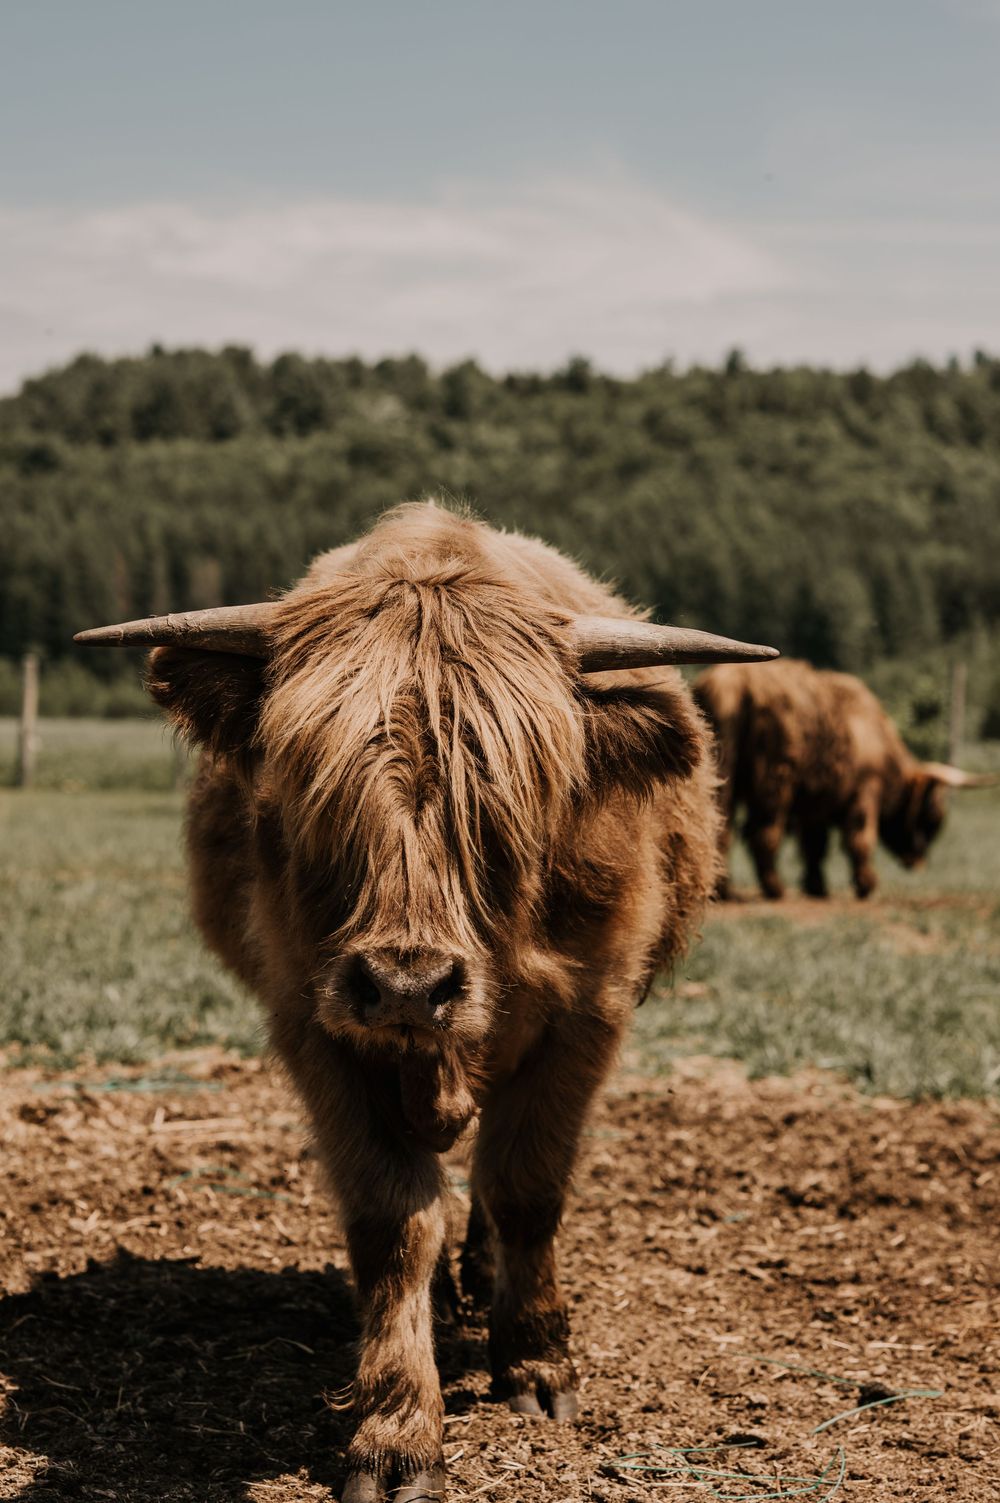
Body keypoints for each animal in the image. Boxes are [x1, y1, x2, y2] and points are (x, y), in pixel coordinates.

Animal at [77, 502, 777, 1501]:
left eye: (508, 795)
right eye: (316, 785)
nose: (408, 983)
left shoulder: (590, 1012)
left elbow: (527, 1184)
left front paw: (536, 1361)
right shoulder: (311, 1021)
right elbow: (393, 1218)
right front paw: (397, 1428)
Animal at [694, 658, 996, 902]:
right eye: (931, 817)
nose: (918, 861)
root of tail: (730, 683)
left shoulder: (816, 805)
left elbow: (815, 846)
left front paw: (817, 886)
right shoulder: (864, 793)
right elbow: (860, 839)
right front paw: (866, 885)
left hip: (725, 779)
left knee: (723, 829)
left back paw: (724, 889)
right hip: (775, 782)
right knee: (764, 833)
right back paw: (774, 889)